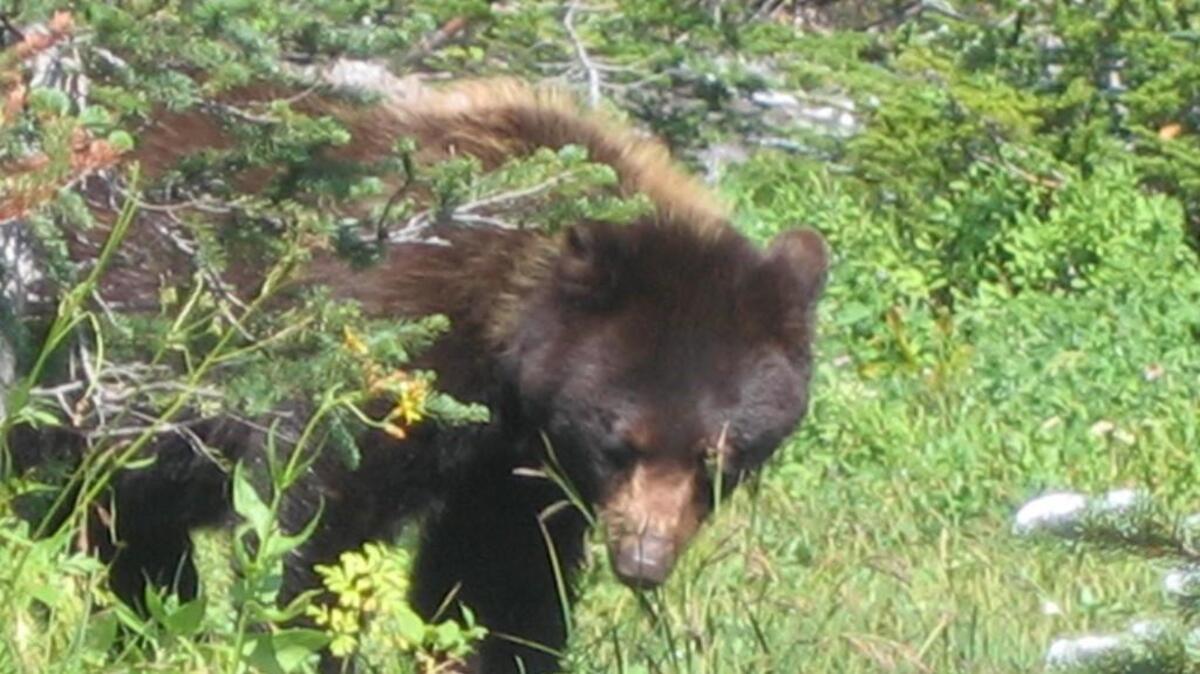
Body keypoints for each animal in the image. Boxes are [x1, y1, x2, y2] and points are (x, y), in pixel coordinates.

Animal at [8, 79, 829, 674]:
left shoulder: (515, 463)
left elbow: (499, 581)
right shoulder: (385, 352)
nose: (643, 561)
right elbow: (312, 520)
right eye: (622, 440)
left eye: (720, 457)